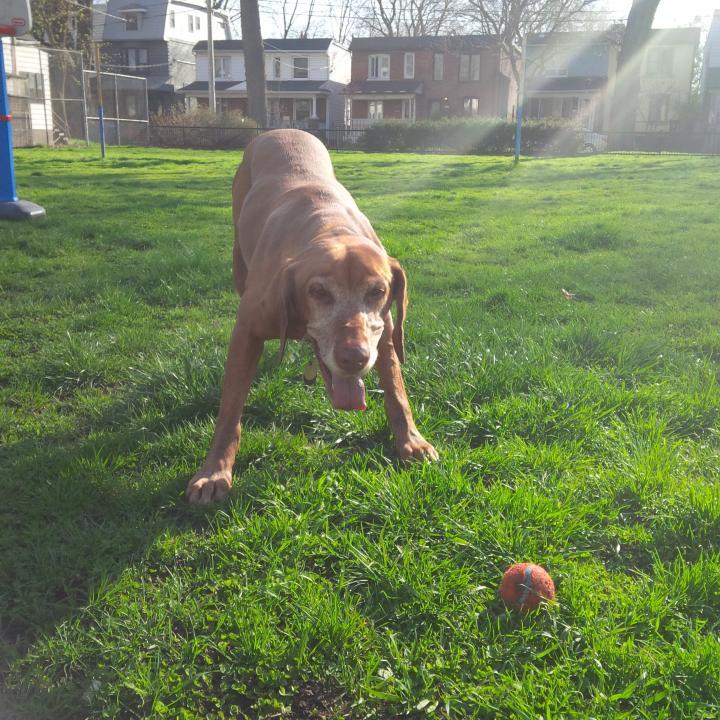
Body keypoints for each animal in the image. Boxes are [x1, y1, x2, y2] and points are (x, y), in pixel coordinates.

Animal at [184, 129, 438, 504]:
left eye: (377, 291)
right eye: (318, 292)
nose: (354, 357)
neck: (331, 226)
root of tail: (280, 130)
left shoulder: (386, 333)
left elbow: (396, 391)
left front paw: (411, 441)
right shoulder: (246, 331)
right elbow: (229, 410)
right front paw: (214, 472)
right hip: (238, 258)